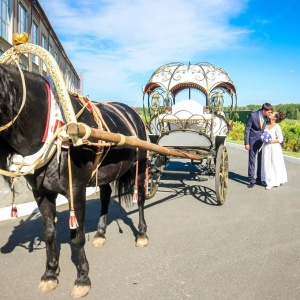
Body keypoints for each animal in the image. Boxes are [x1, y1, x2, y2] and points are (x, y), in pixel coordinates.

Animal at [0, 64, 149, 296]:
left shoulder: (76, 190)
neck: (56, 131)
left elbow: (77, 236)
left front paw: (82, 278)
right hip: (105, 172)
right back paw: (100, 233)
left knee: (140, 197)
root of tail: (132, 113)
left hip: (139, 166)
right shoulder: (41, 193)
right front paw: (50, 274)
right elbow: (49, 233)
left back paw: (141, 234)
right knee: (105, 196)